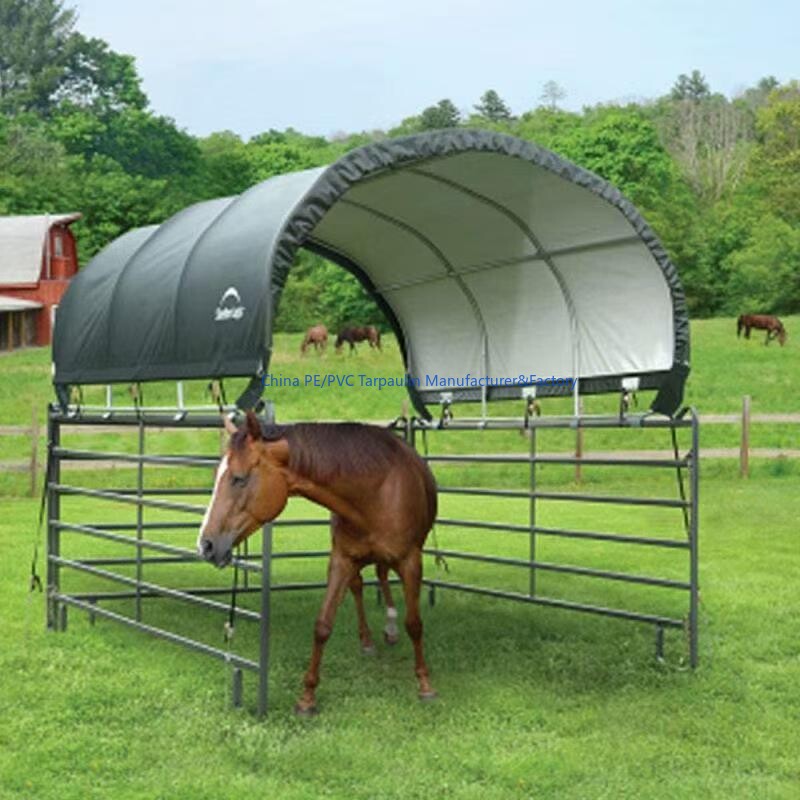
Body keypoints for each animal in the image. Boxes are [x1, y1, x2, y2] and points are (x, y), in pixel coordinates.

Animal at [197, 411, 438, 714]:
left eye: (239, 479)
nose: (205, 545)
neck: (374, 493)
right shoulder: (341, 561)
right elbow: (323, 625)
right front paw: (307, 697)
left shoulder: (411, 562)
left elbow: (415, 624)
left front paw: (425, 683)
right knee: (362, 584)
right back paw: (371, 638)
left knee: (383, 576)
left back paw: (391, 627)